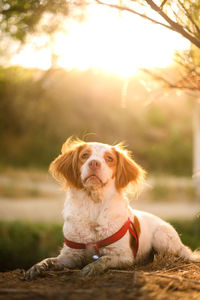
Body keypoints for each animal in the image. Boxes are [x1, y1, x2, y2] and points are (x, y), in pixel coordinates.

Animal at [25, 137, 200, 280]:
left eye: (109, 158)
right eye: (84, 156)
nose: (94, 163)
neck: (94, 204)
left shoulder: (124, 256)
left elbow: (103, 259)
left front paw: (91, 268)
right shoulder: (70, 255)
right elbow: (49, 260)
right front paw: (36, 268)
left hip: (162, 236)